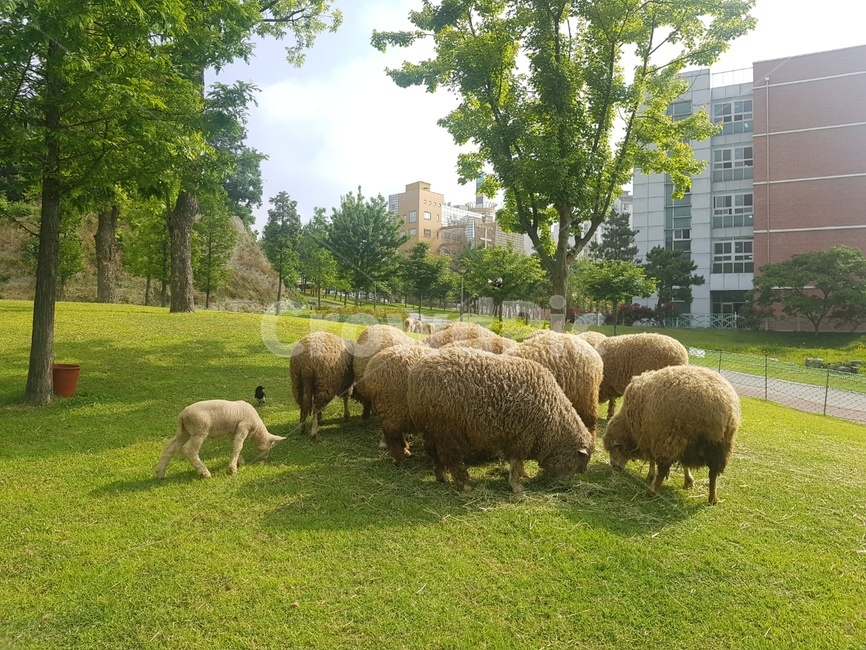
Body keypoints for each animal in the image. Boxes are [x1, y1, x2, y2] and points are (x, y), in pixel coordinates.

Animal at [155, 400, 285, 479]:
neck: (257, 429)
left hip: (185, 432)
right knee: (189, 450)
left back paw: (160, 472)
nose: (265, 458)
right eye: (270, 446)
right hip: (199, 430)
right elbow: (239, 446)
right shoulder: (243, 427)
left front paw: (239, 461)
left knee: (169, 447)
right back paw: (204, 472)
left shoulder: (233, 432)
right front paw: (232, 469)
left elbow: (235, 446)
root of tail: (181, 416)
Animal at [407, 347, 594, 493]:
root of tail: (417, 375)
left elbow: (517, 464)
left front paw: (523, 476)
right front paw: (517, 487)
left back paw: (442, 477)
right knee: (452, 459)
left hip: (432, 430)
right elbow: (516, 463)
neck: (554, 421)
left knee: (434, 454)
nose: (563, 484)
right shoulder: (522, 437)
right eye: (576, 465)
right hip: (448, 431)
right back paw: (465, 485)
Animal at [603, 365, 740, 504]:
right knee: (713, 473)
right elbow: (684, 464)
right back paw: (713, 498)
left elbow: (652, 460)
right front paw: (688, 481)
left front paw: (651, 475)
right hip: (721, 445)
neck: (628, 425)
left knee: (664, 468)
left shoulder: (651, 436)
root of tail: (718, 405)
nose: (614, 466)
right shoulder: (681, 445)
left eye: (614, 448)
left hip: (673, 437)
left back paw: (651, 491)